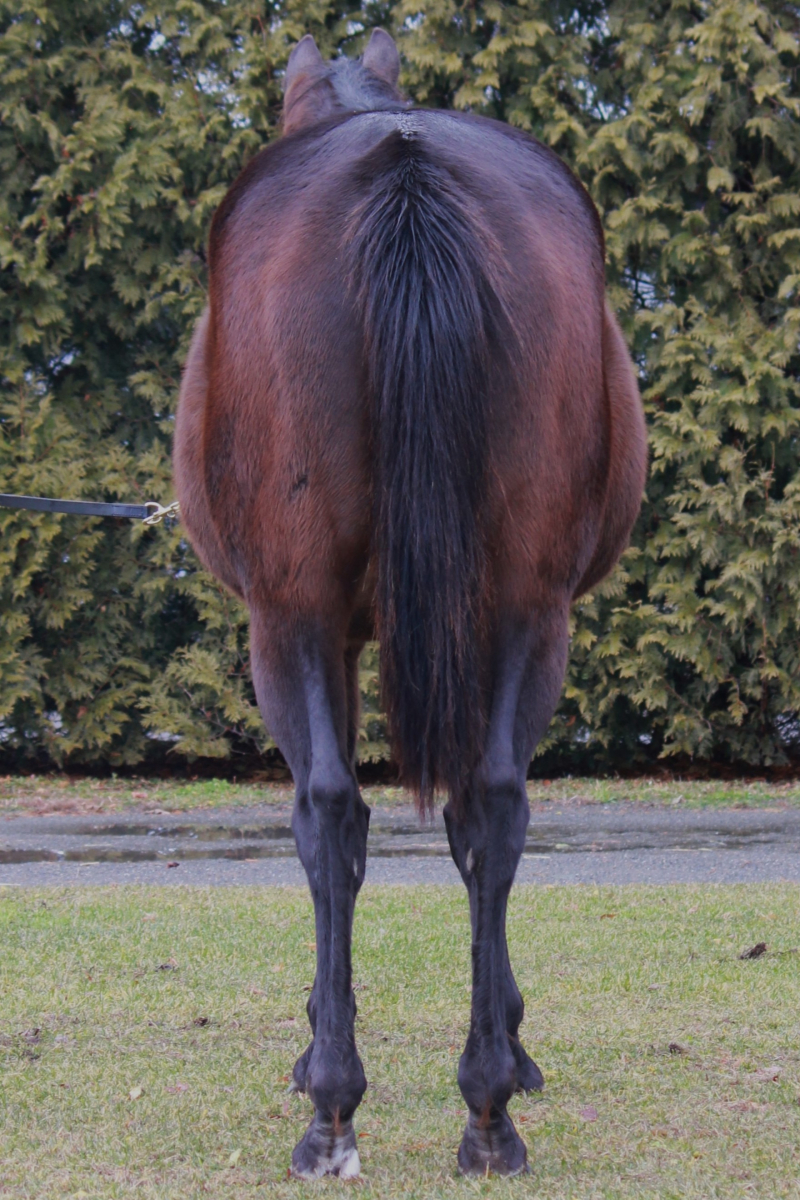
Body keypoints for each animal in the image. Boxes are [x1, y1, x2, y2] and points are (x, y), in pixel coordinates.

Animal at [174, 28, 647, 1178]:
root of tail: (402, 164)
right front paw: (506, 1048)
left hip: (289, 619)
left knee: (331, 813)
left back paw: (339, 1107)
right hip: (522, 608)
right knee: (488, 804)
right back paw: (484, 1111)